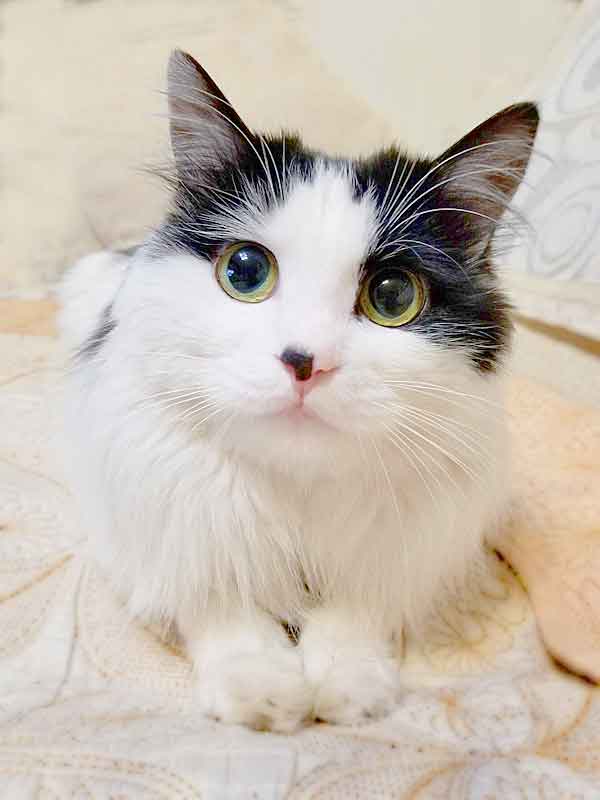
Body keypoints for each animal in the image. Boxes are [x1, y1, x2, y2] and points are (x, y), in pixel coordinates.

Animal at [58, 50, 540, 736]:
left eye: (393, 296)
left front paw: (351, 687)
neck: (298, 492)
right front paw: (262, 692)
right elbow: (222, 604)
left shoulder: (400, 541)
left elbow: (356, 613)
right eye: (245, 272)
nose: (304, 363)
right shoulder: (170, 521)